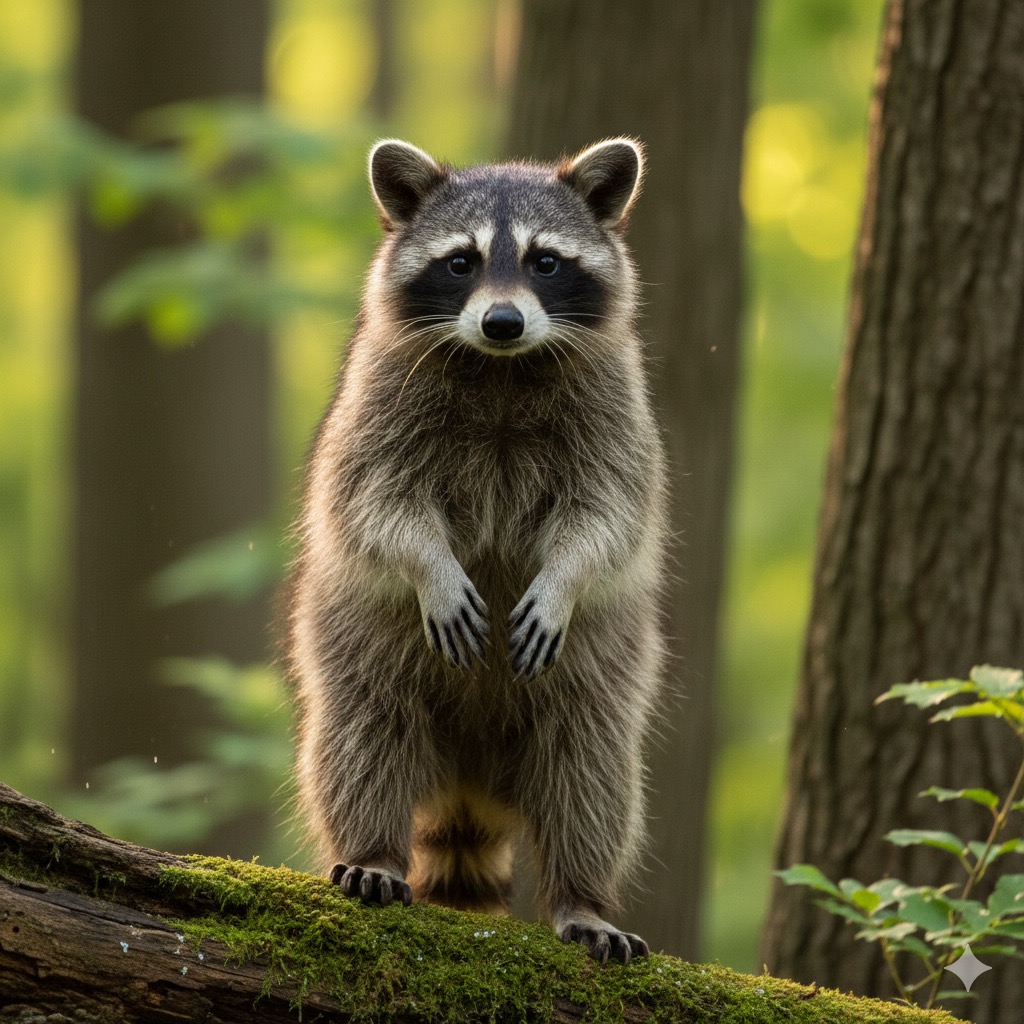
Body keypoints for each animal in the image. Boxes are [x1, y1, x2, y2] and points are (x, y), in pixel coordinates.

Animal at [290, 138, 668, 963]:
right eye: (460, 262)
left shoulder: (617, 407)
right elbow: (374, 505)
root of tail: (470, 776)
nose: (501, 321)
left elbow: (610, 516)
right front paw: (428, 566)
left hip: (598, 676)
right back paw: (372, 852)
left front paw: (565, 579)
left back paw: (582, 897)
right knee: (363, 738)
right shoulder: (378, 399)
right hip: (357, 644)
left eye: (545, 262)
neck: (501, 366)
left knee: (590, 776)